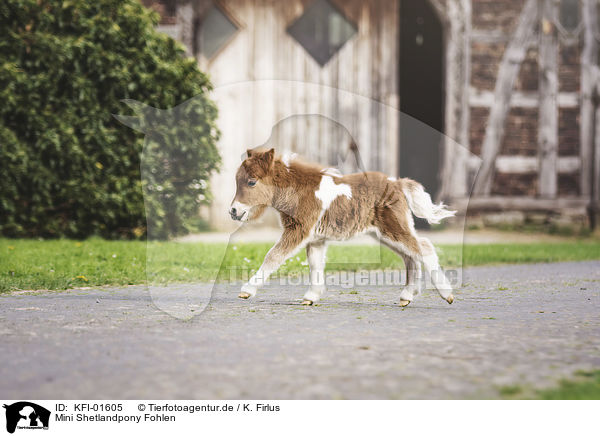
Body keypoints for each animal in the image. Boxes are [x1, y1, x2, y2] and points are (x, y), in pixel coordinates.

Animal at [230, 149, 454, 306]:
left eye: (251, 182)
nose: (233, 210)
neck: (300, 190)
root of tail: (397, 183)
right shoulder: (316, 238)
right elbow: (315, 264)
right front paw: (311, 297)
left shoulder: (298, 230)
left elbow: (273, 256)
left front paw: (247, 289)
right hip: (383, 233)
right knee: (410, 256)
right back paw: (407, 296)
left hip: (393, 228)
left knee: (424, 248)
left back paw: (446, 293)